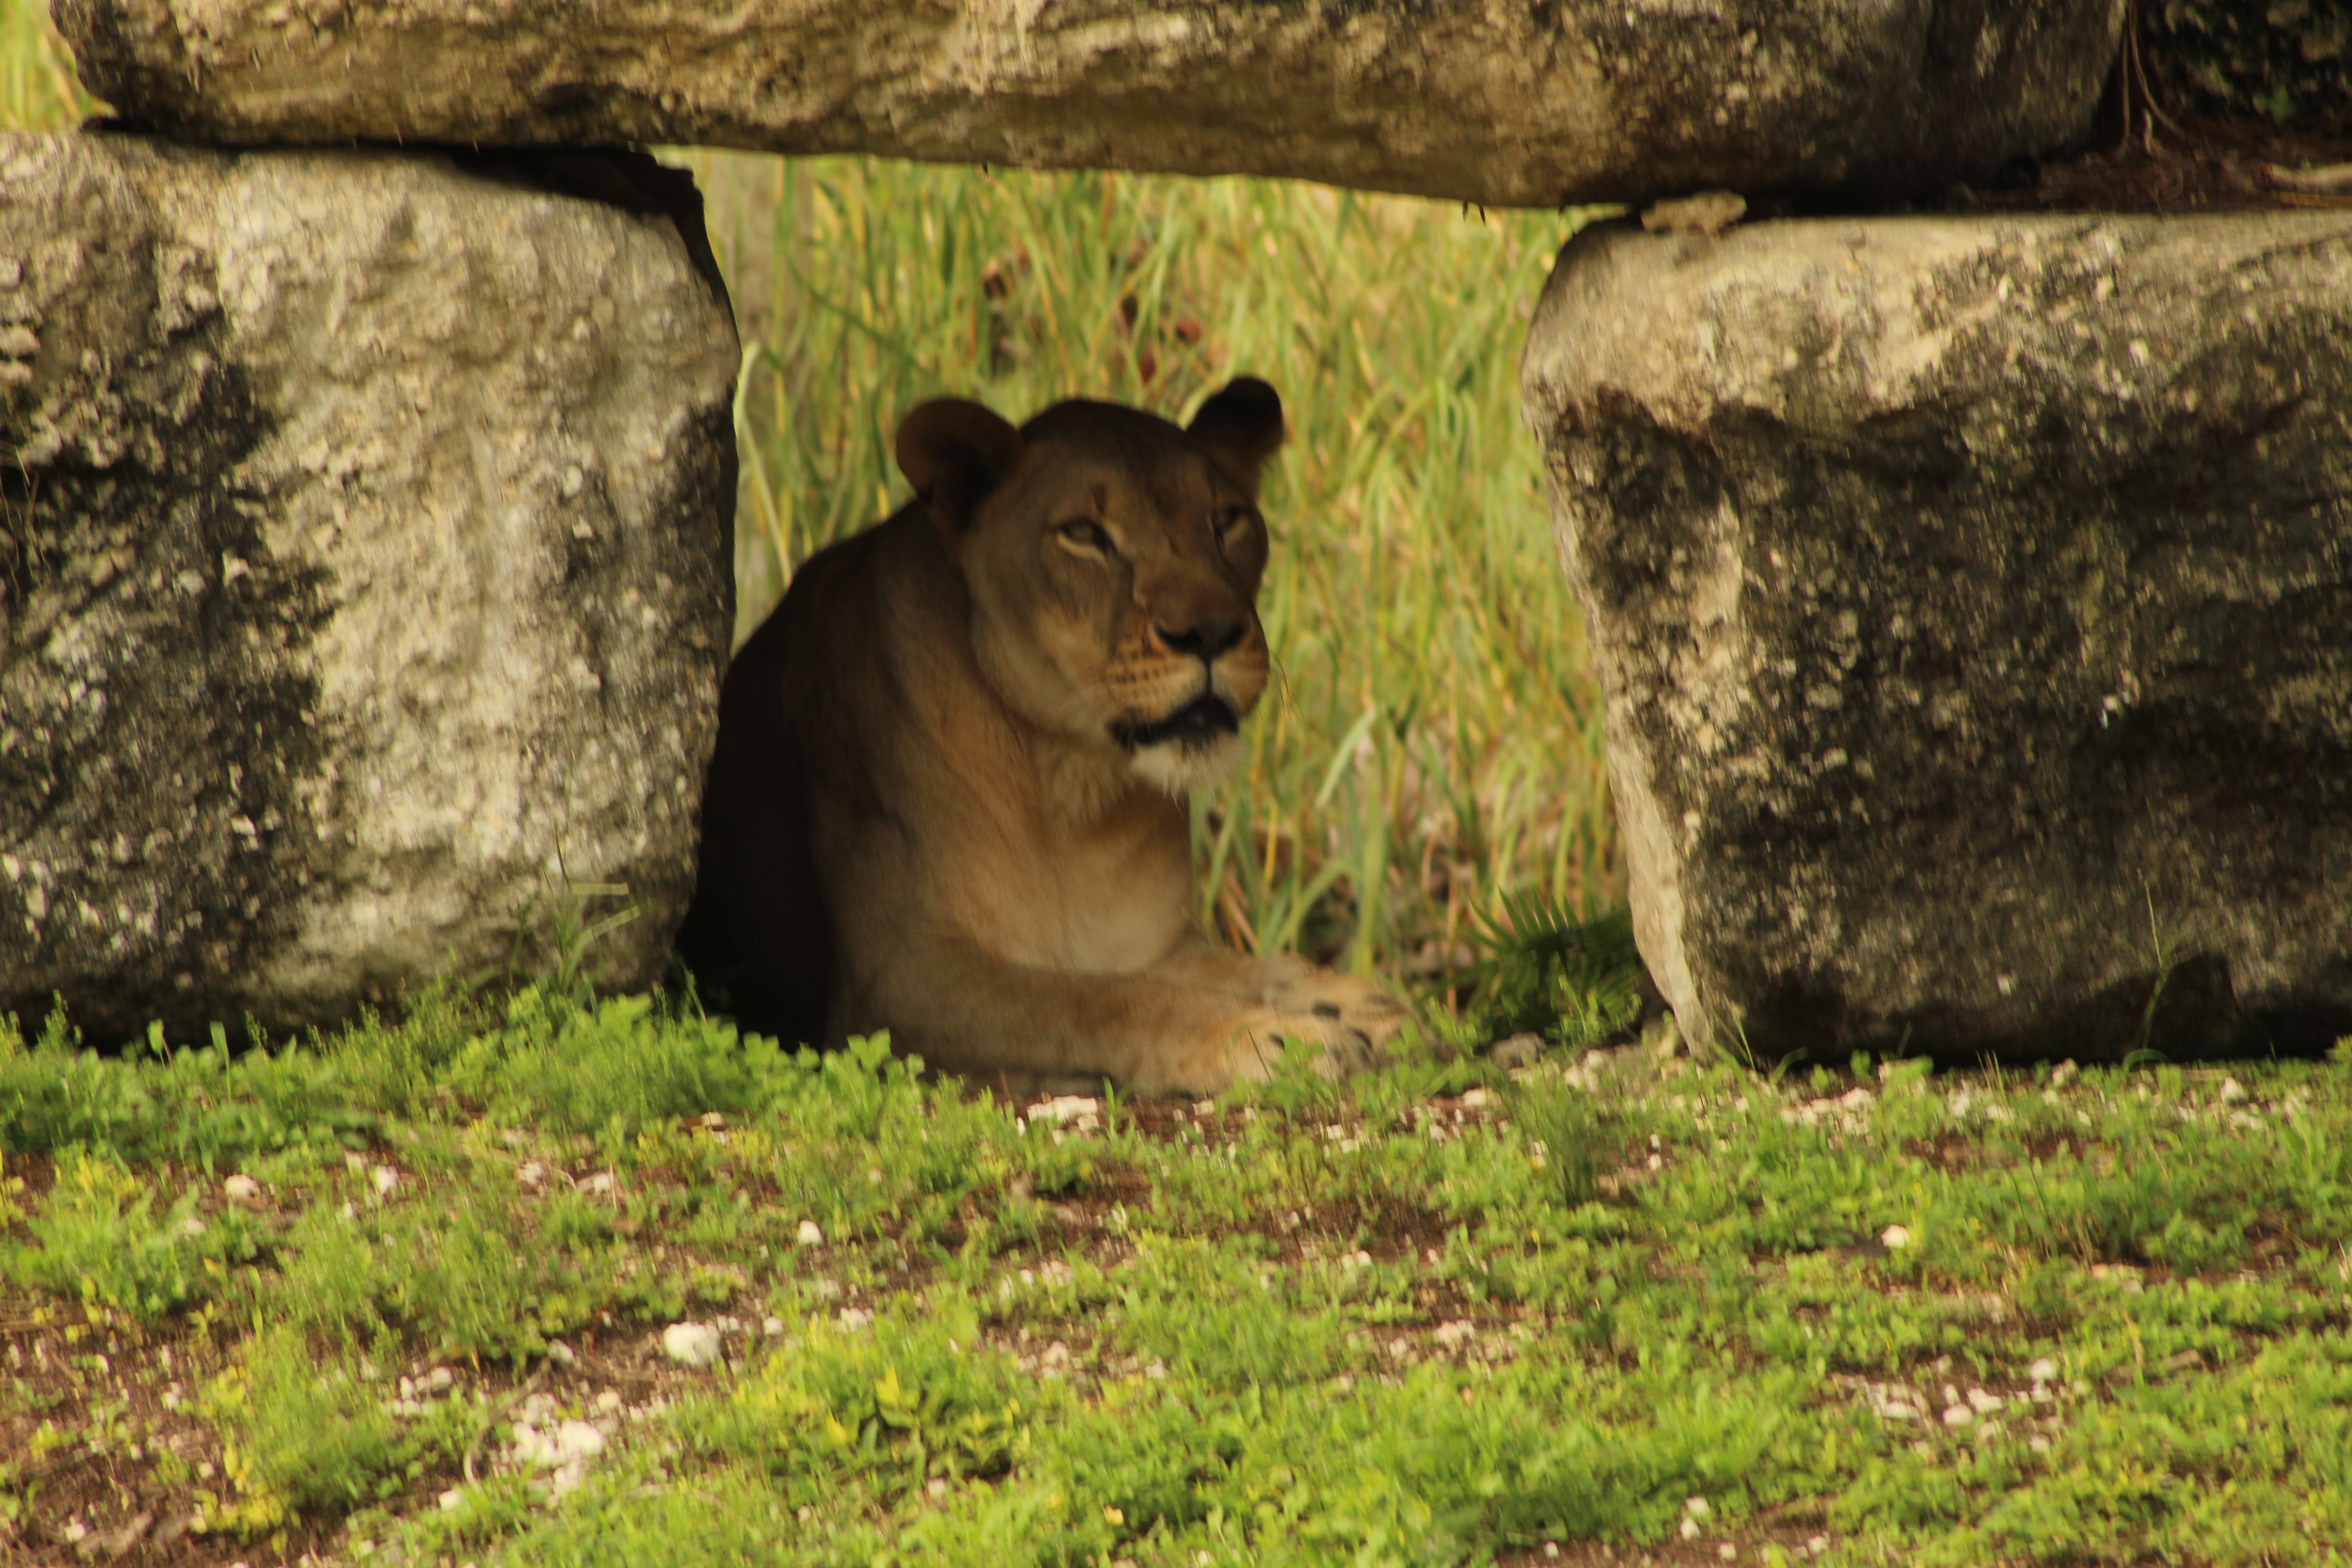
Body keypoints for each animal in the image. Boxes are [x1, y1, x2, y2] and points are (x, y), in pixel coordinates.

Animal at [676, 377, 1410, 1094]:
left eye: (1226, 520)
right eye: (1084, 534)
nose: (1210, 633)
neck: (1069, 788)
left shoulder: (1152, 944)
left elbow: (1241, 969)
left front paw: (1356, 1004)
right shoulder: (894, 981)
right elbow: (1098, 1001)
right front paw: (1272, 1039)